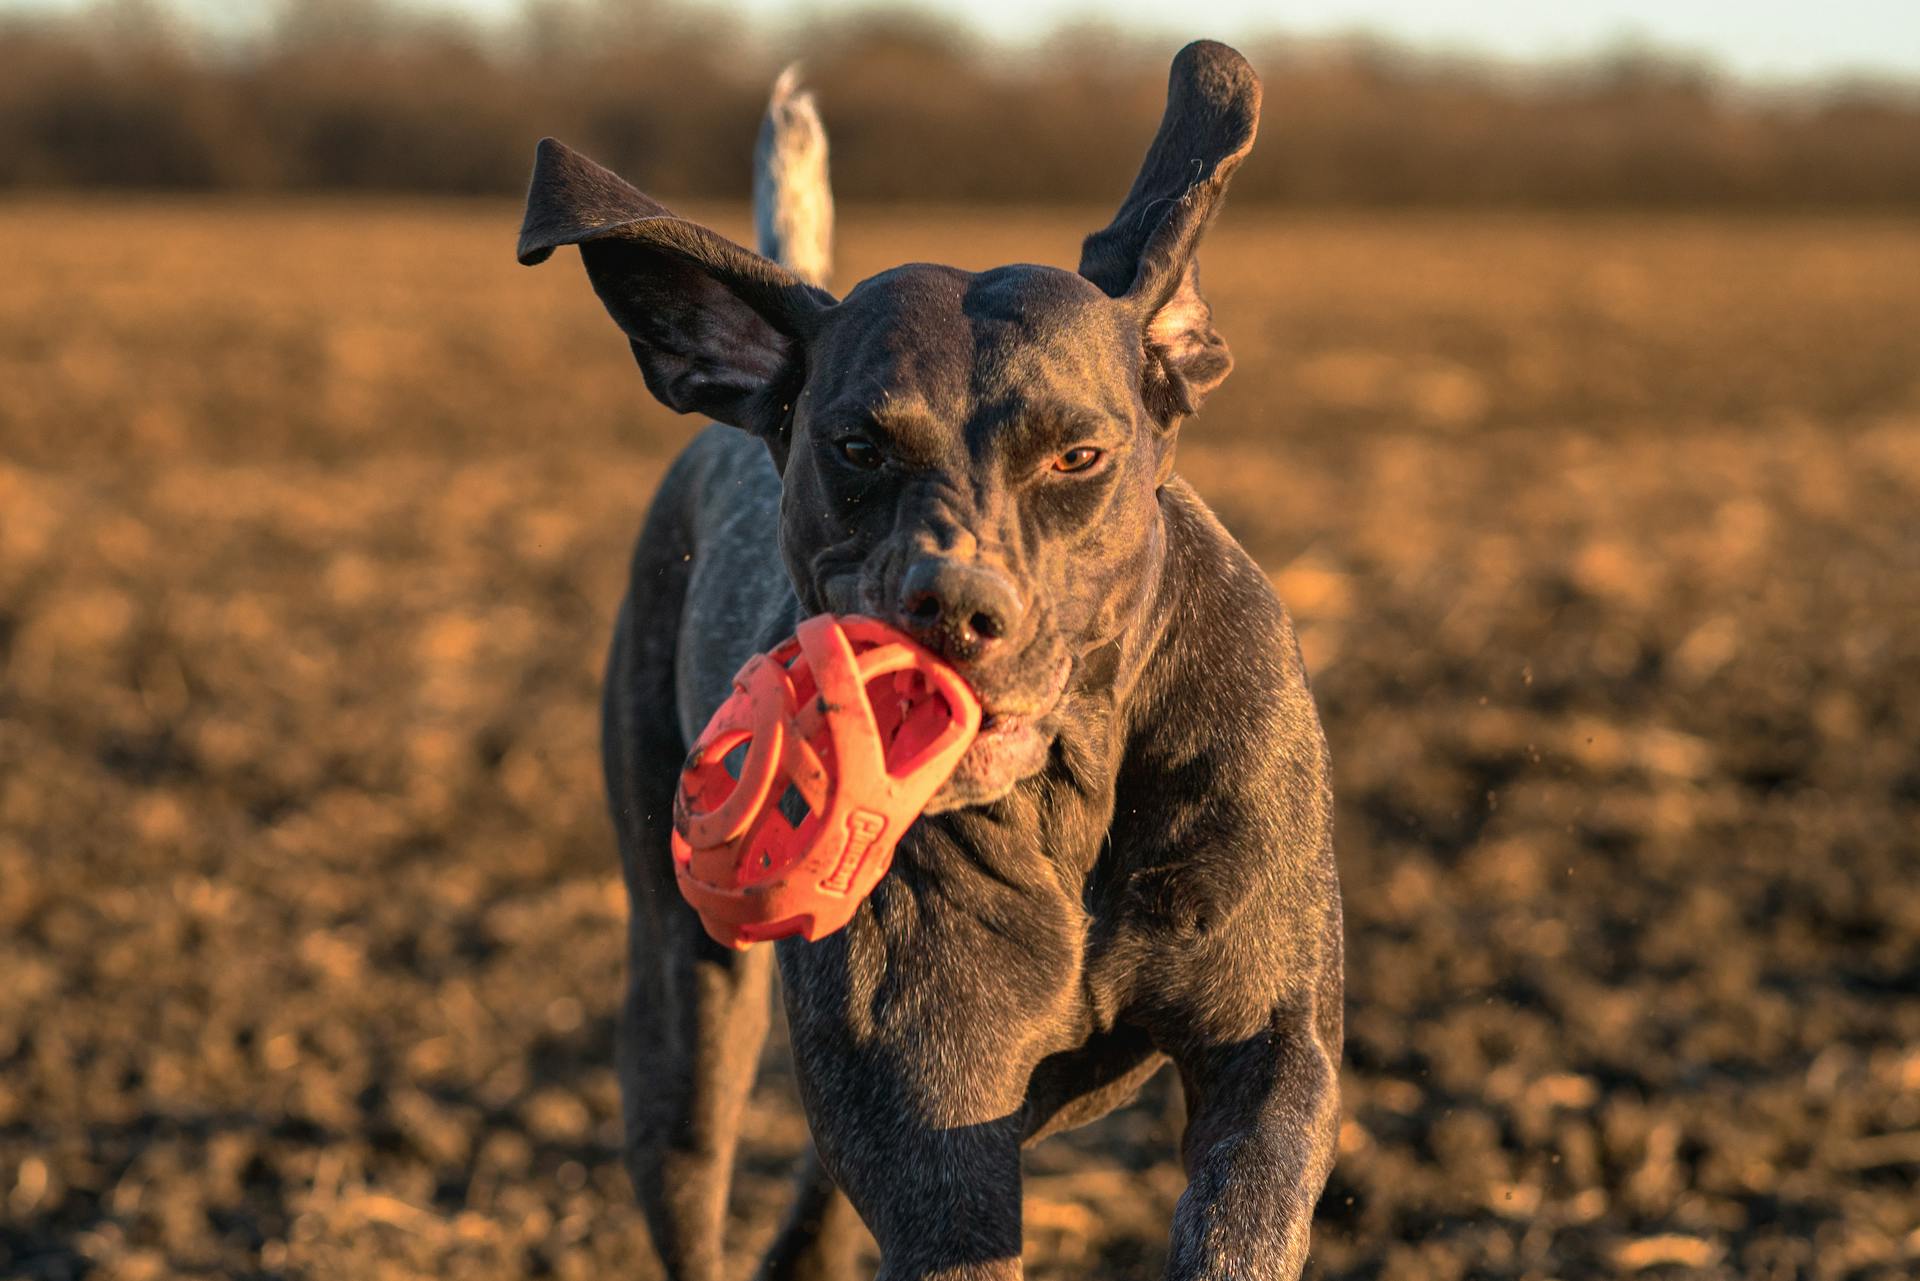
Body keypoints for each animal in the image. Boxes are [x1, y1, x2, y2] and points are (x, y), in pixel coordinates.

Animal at [518, 37, 1344, 1281]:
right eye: (858, 447)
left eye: (1078, 455)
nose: (953, 608)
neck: (1067, 803)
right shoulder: (929, 1105)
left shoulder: (1270, 1043)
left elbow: (1241, 1220)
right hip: (682, 1012)